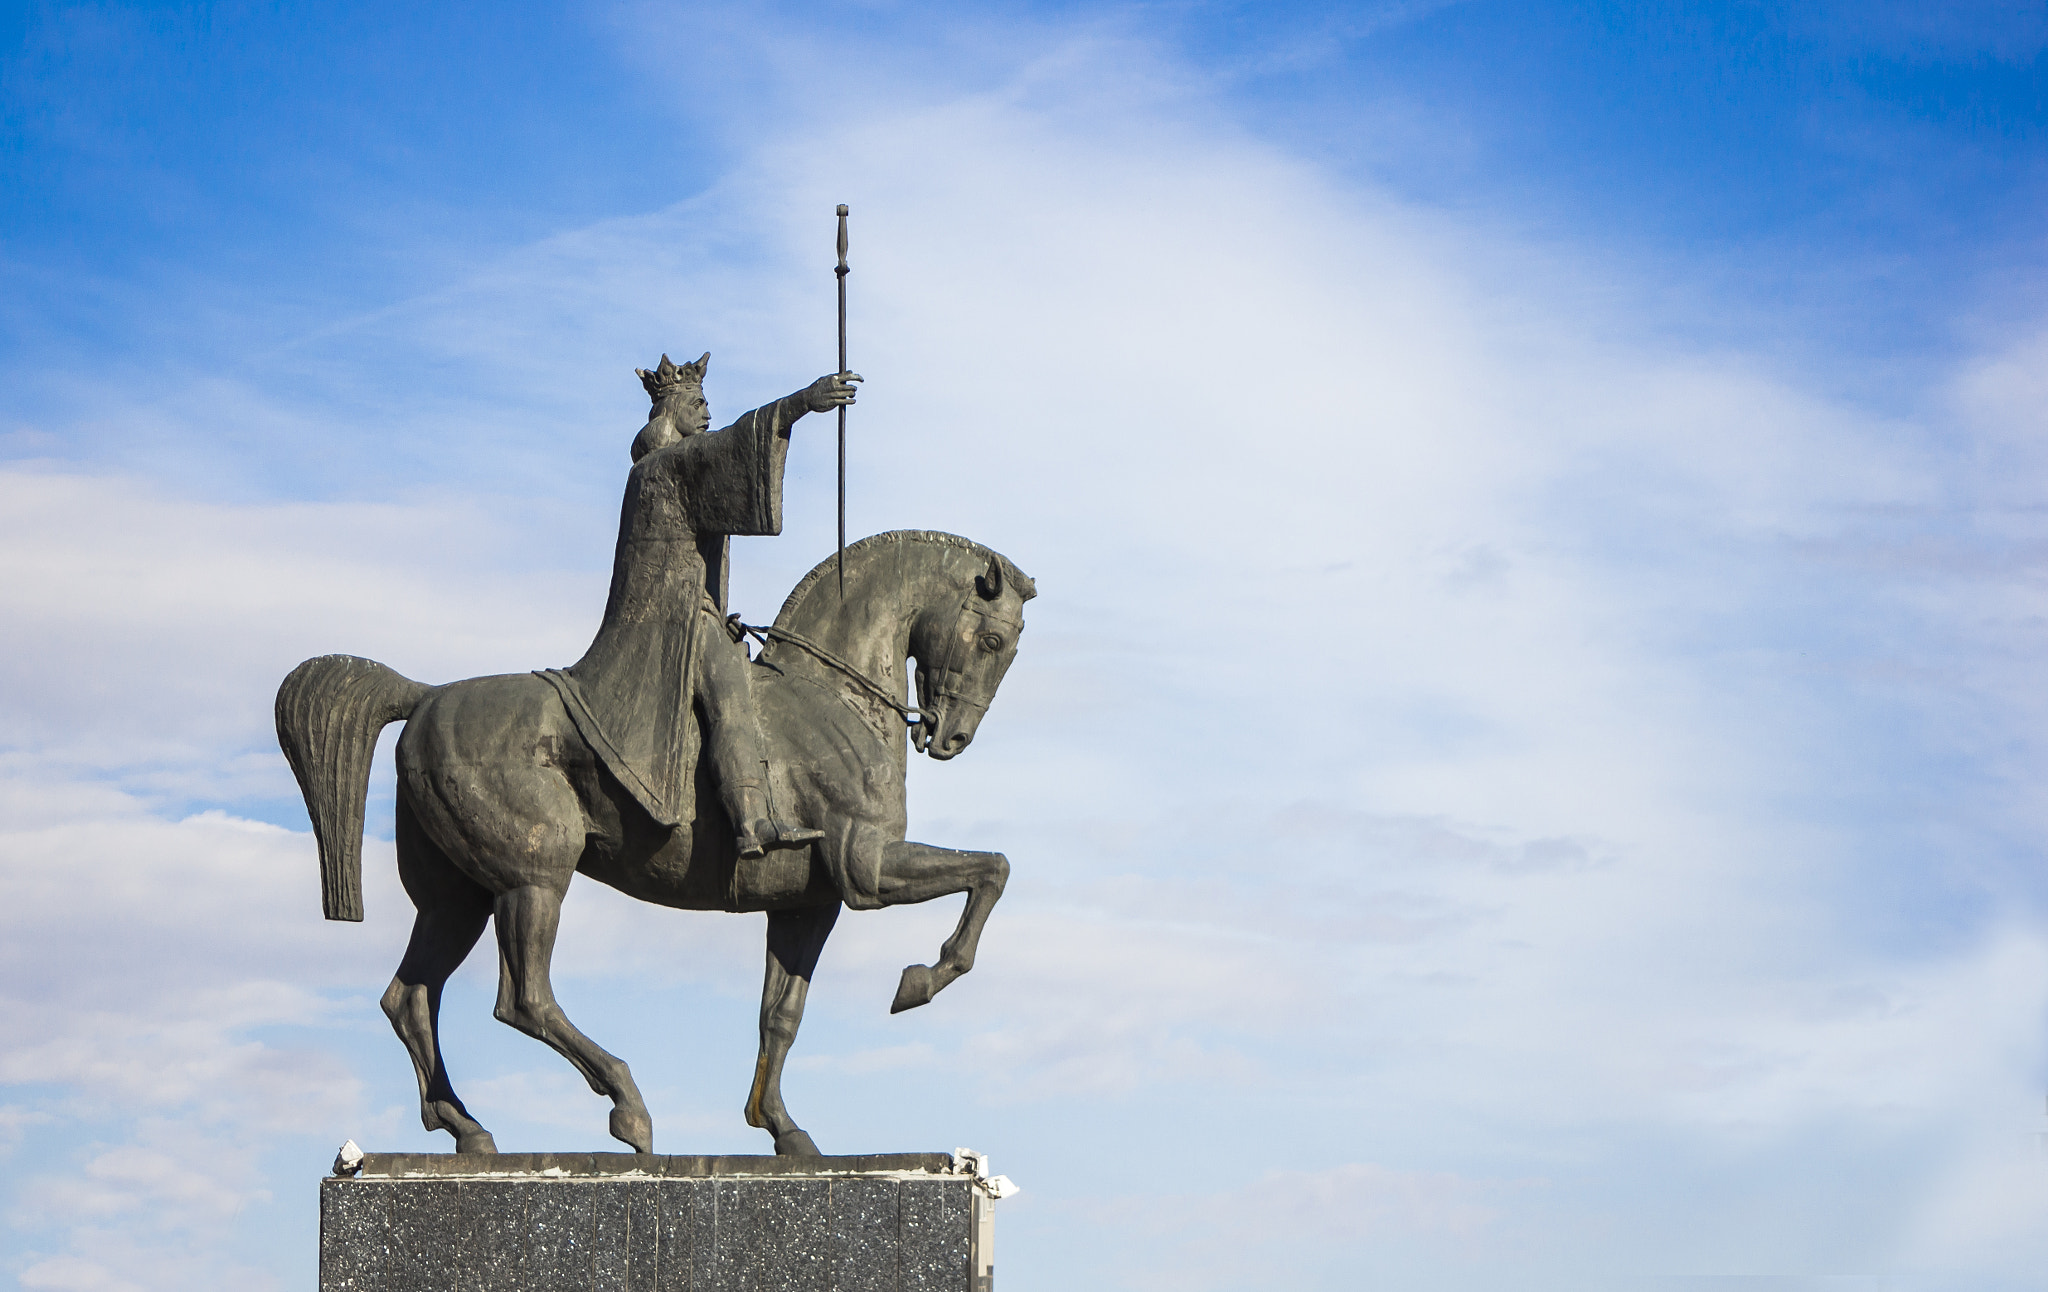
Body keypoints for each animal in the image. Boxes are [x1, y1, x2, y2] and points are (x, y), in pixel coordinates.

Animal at [272, 532, 1032, 1154]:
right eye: (994, 642)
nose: (951, 738)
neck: (831, 699)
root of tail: (427, 696)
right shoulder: (865, 869)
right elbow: (991, 869)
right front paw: (922, 979)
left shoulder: (808, 904)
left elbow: (780, 1015)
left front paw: (782, 1128)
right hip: (532, 879)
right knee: (522, 998)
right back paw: (627, 1107)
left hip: (457, 899)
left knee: (410, 999)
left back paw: (467, 1129)